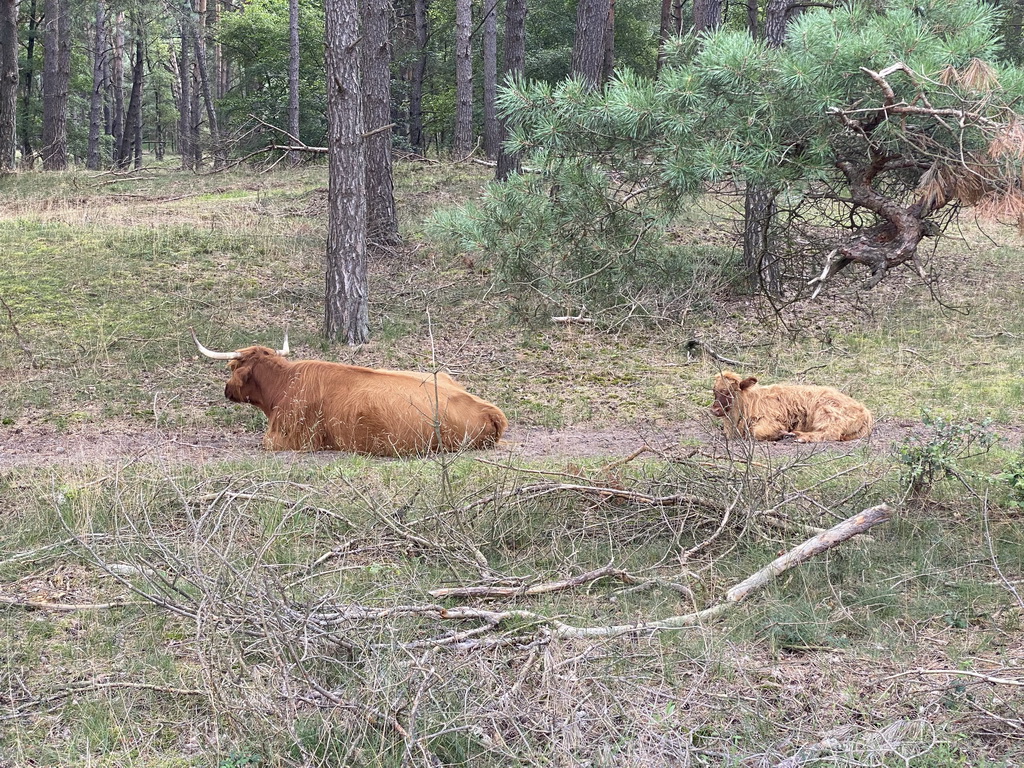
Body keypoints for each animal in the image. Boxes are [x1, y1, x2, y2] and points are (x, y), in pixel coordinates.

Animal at [712, 372, 872, 444]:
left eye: (729, 391)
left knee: (829, 433)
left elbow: (758, 432)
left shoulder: (771, 421)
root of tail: (865, 412)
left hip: (827, 413)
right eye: (714, 391)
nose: (715, 410)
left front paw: (781, 434)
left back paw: (798, 436)